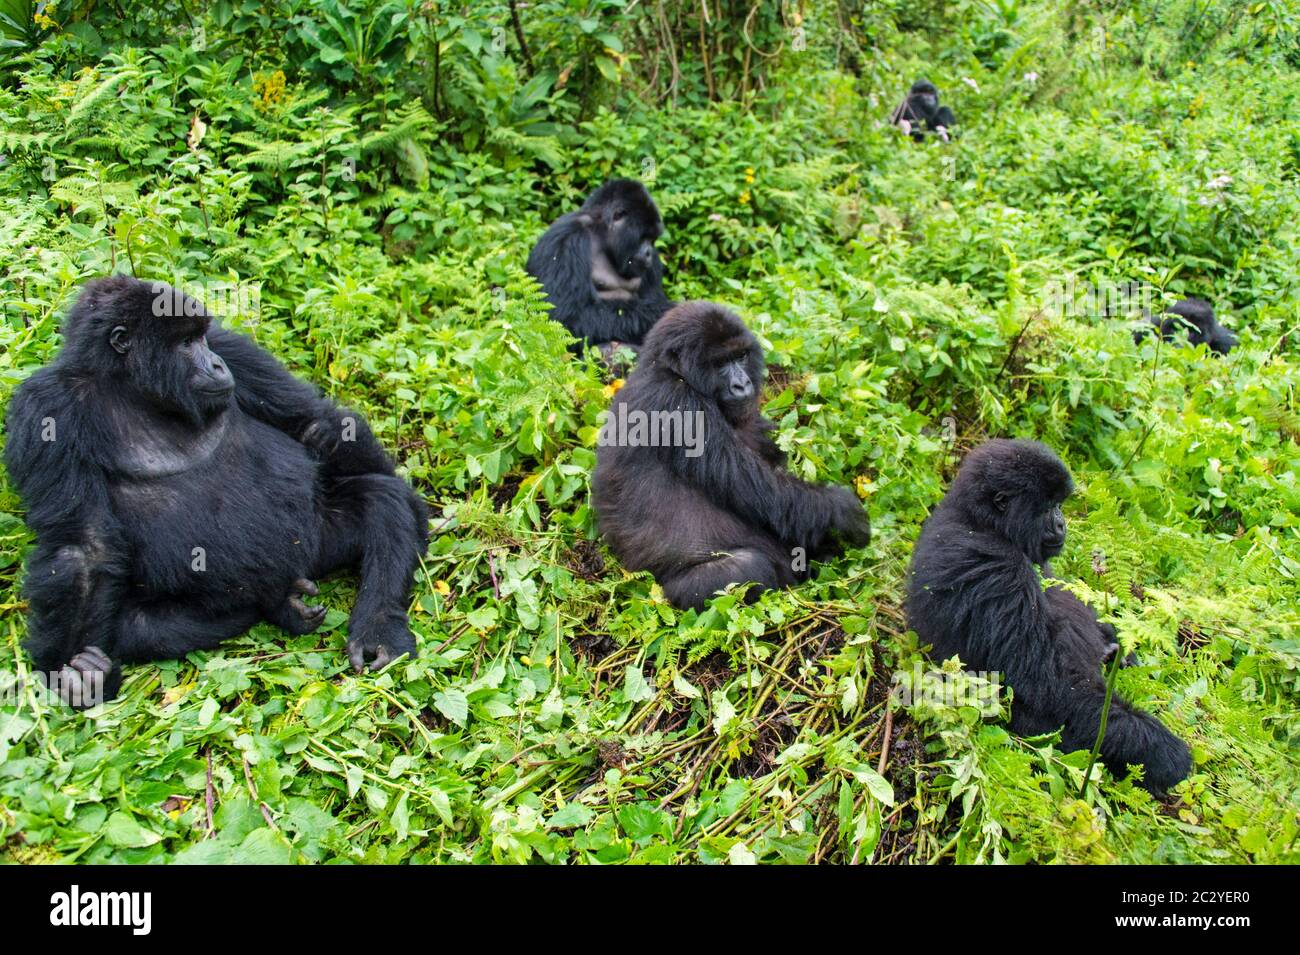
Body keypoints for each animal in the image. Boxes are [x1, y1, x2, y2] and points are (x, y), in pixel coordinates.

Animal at [6, 272, 431, 706]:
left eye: (203, 339)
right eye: (185, 343)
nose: (215, 363)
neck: (130, 387)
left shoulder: (233, 349)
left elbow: (315, 421)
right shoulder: (45, 409)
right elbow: (82, 547)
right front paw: (75, 678)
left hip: (319, 537)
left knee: (380, 504)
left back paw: (379, 629)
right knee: (137, 626)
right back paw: (277, 604)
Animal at [525, 178, 676, 361]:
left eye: (652, 239)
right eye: (643, 237)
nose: (648, 253)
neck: (601, 234)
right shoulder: (565, 239)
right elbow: (564, 320)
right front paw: (661, 312)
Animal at [595, 300, 868, 613]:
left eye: (740, 356)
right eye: (721, 363)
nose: (742, 384)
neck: (669, 371)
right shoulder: (680, 406)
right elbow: (766, 494)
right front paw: (842, 510)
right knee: (748, 567)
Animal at [904, 439, 1190, 789]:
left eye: (1059, 505)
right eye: (1049, 507)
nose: (1062, 523)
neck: (982, 522)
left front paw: (1119, 645)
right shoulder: (997, 570)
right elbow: (1050, 683)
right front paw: (1162, 753)